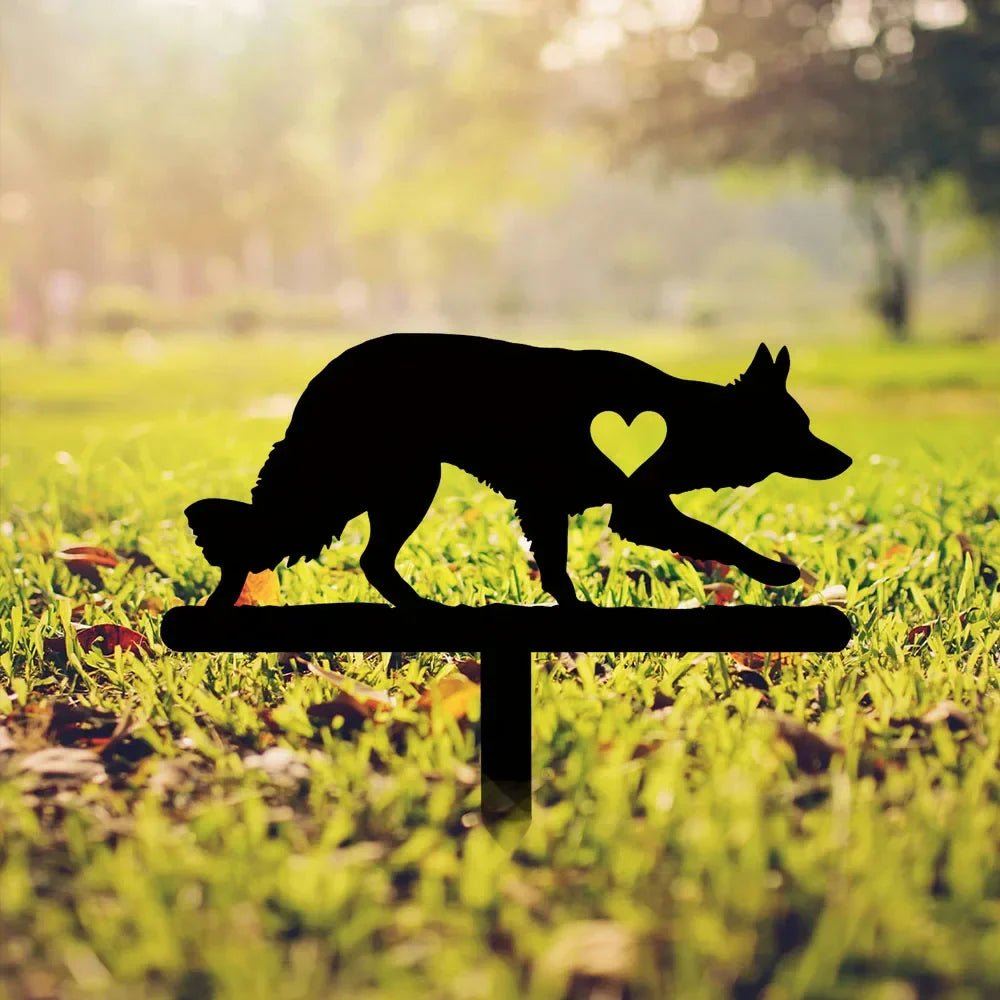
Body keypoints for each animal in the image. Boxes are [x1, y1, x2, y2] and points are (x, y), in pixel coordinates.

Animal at [186, 334, 851, 608]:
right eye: (797, 427)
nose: (843, 459)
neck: (683, 416)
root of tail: (319, 383)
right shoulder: (625, 509)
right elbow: (716, 537)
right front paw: (775, 571)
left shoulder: (569, 506)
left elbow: (557, 571)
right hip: (397, 480)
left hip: (393, 482)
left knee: (365, 558)